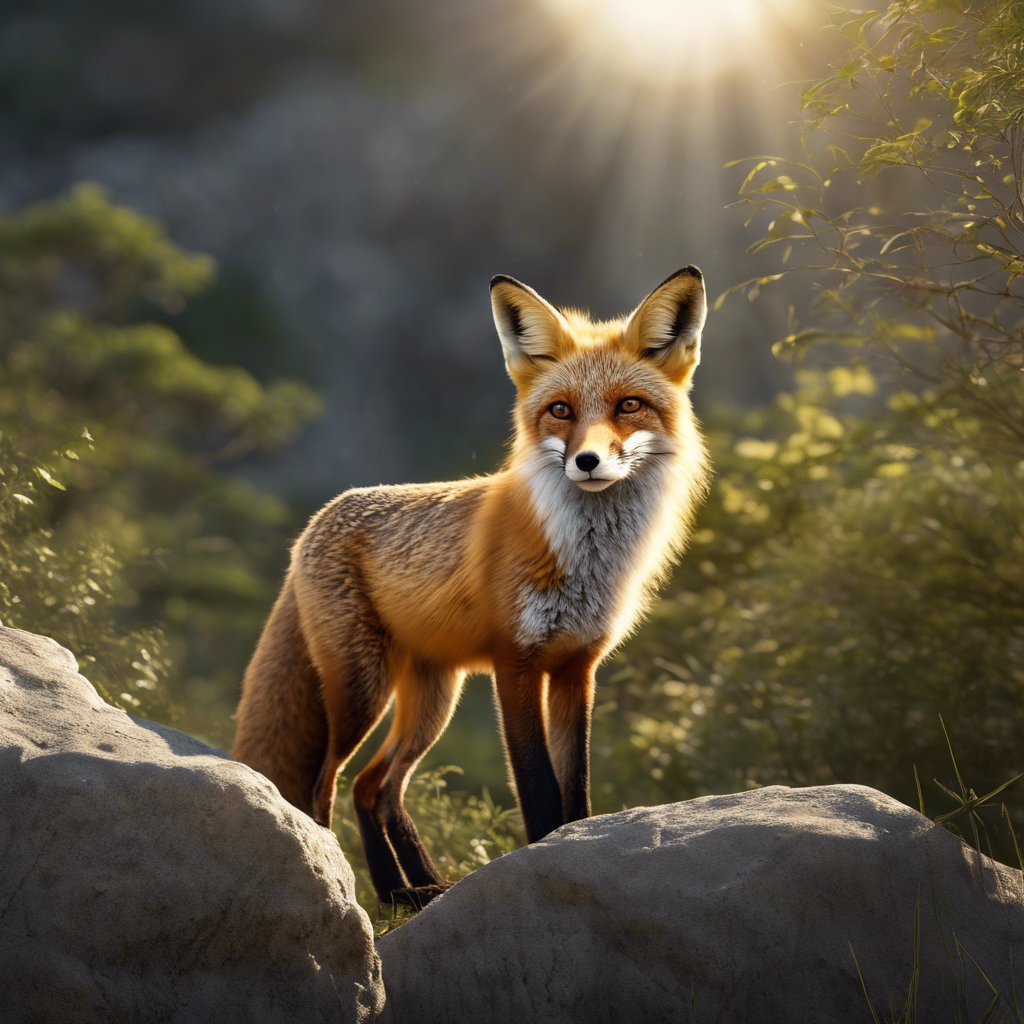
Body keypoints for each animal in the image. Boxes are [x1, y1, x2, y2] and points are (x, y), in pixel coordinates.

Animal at [232, 268, 712, 909]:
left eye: (628, 405)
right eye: (560, 410)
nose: (586, 461)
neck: (585, 561)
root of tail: (319, 517)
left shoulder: (576, 668)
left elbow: (576, 787)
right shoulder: (516, 662)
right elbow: (538, 785)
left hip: (433, 699)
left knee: (375, 787)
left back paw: (410, 891)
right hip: (362, 690)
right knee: (323, 784)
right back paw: (352, 886)